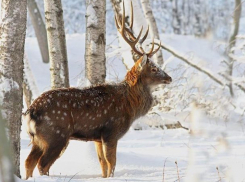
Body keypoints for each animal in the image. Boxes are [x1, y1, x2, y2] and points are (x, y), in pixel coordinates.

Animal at [23, 1, 172, 180]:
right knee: (42, 164)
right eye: (154, 68)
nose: (169, 78)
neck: (130, 105)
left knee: (28, 162)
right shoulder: (111, 131)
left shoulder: (97, 138)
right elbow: (111, 163)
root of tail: (31, 111)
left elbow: (102, 164)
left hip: (38, 139)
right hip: (56, 135)